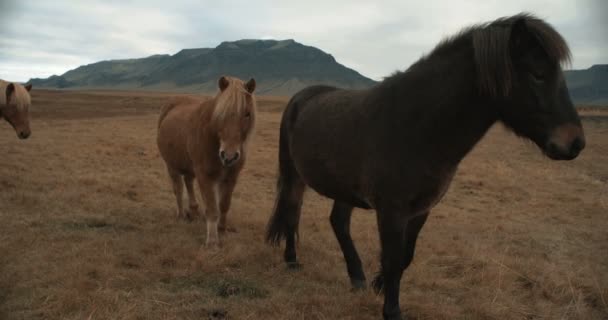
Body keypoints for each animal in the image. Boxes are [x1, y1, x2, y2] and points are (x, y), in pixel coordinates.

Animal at [158, 76, 255, 249]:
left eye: (247, 114)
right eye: (221, 114)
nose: (229, 156)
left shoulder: (231, 177)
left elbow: (224, 205)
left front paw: (222, 229)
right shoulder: (205, 176)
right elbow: (212, 208)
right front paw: (212, 241)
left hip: (189, 167)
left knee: (188, 182)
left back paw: (194, 210)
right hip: (172, 166)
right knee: (178, 188)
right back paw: (181, 215)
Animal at [264, 13, 584, 320]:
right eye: (537, 74)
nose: (576, 143)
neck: (417, 127)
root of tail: (301, 97)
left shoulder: (421, 209)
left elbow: (405, 256)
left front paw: (379, 285)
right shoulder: (391, 209)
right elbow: (393, 259)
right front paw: (392, 310)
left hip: (344, 188)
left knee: (338, 223)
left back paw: (357, 277)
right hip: (294, 174)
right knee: (292, 210)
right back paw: (292, 260)